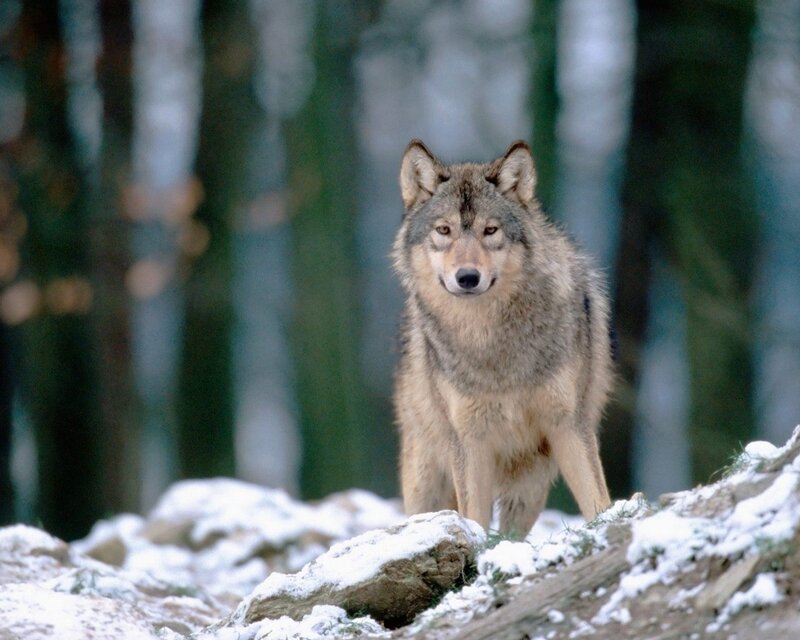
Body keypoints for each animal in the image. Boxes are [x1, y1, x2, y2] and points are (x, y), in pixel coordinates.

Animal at [392, 139, 613, 536]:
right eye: (444, 230)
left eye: (490, 230)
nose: (467, 277)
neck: (491, 342)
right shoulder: (469, 440)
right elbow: (475, 518)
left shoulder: (568, 423)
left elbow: (597, 500)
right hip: (426, 480)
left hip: (529, 484)